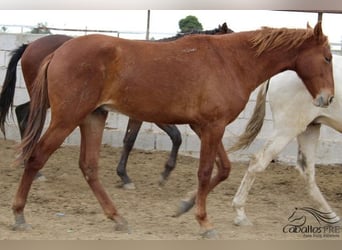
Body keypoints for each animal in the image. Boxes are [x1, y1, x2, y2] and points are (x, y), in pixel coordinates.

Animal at [0, 23, 232, 188]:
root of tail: (30, 45)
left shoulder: (152, 114)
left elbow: (173, 136)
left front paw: (160, 173)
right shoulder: (143, 115)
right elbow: (132, 140)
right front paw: (127, 176)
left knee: (23, 112)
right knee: (26, 116)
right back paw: (33, 167)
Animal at [230, 53, 342, 226]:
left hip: (309, 127)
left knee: (307, 171)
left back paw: (332, 218)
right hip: (287, 128)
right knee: (258, 161)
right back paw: (240, 214)